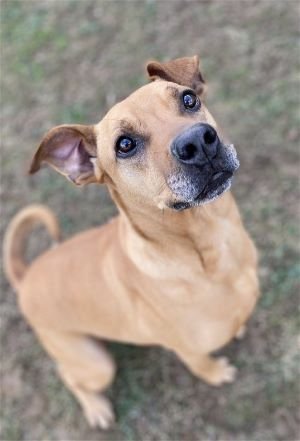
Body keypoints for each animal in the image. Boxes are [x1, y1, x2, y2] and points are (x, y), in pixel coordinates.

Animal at [2, 56, 260, 428]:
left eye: (188, 99)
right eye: (125, 145)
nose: (199, 142)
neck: (210, 244)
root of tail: (26, 277)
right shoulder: (188, 350)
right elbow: (203, 365)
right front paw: (217, 373)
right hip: (96, 365)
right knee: (69, 375)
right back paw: (96, 409)